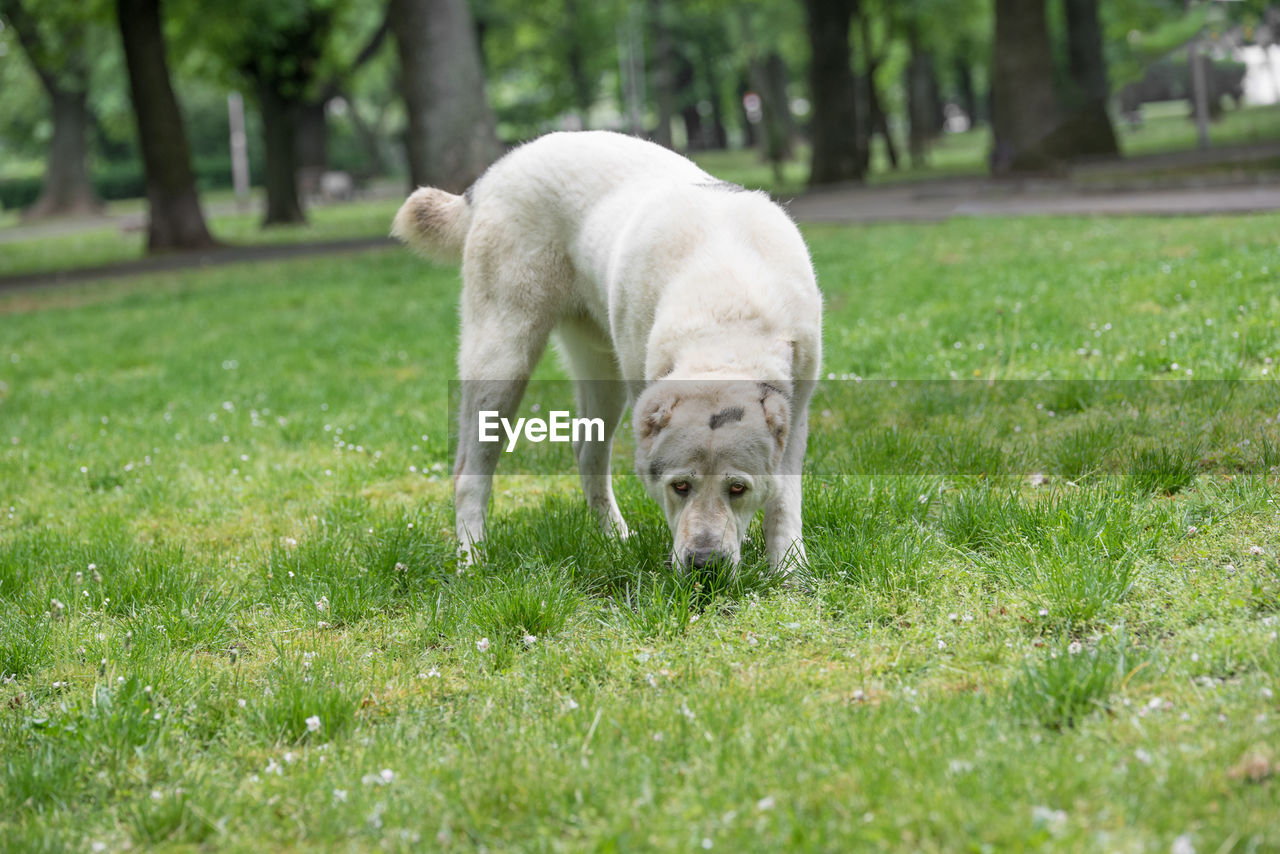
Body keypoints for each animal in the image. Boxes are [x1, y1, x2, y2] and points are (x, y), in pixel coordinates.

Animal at [391, 131, 819, 573]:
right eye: (679, 486)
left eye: (738, 488)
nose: (704, 564)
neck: (725, 320)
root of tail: (495, 172)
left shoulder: (797, 411)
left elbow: (784, 501)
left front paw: (789, 569)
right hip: (501, 365)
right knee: (468, 474)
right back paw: (473, 561)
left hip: (602, 373)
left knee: (588, 454)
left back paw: (615, 539)